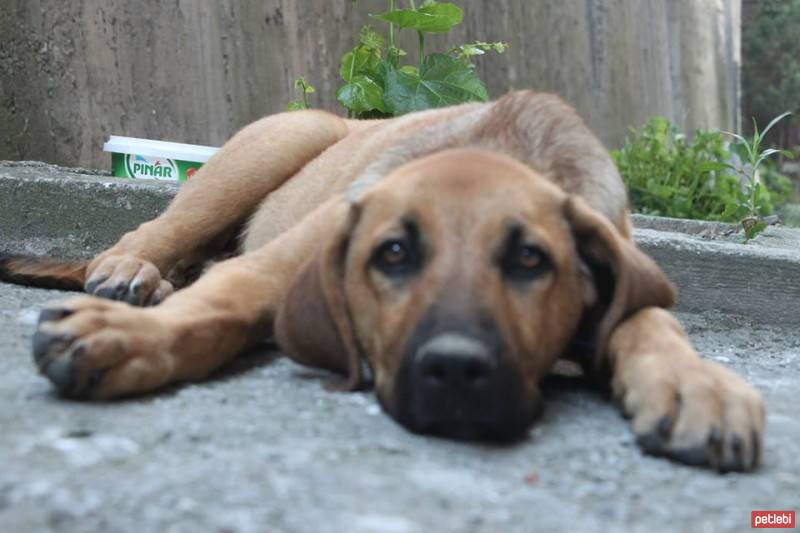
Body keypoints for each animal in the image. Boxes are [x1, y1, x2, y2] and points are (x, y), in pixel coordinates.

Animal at [0, 90, 764, 470]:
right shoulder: (284, 261)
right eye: (392, 254)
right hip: (280, 142)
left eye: (529, 262)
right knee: (156, 234)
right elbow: (225, 298)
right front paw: (127, 338)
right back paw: (130, 276)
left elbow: (649, 319)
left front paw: (698, 386)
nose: (456, 375)